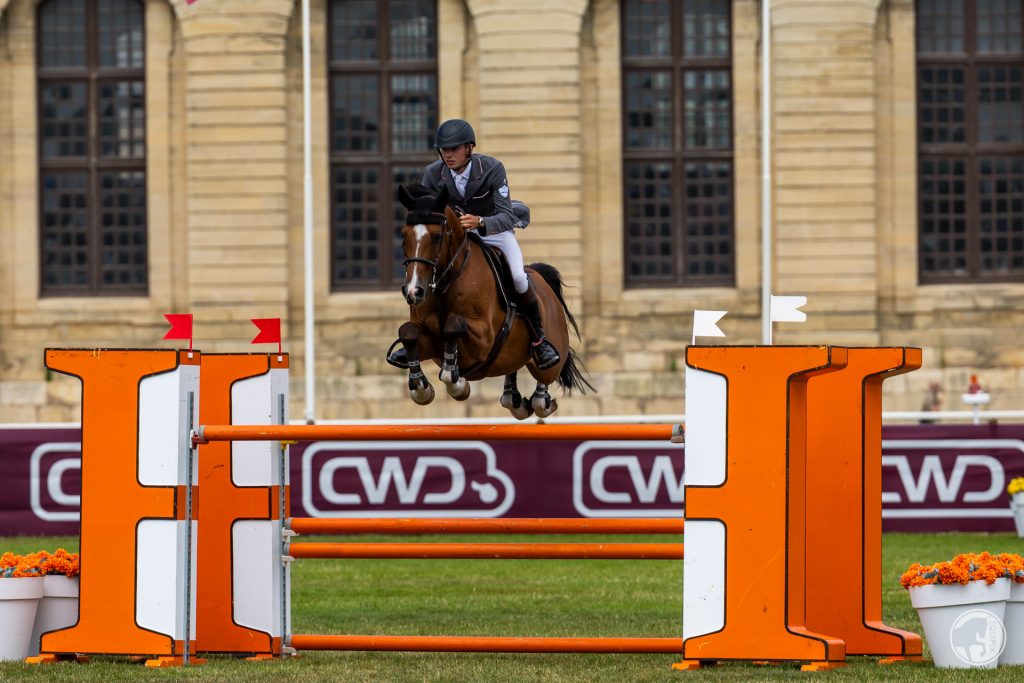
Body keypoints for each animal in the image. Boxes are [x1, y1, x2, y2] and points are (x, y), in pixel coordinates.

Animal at [395, 181, 598, 419]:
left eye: (436, 236)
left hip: (550, 352)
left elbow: (453, 326)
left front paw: (456, 383)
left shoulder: (483, 339)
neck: (445, 283)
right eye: (404, 235)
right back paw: (514, 399)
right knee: (512, 376)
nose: (413, 291)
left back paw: (542, 391)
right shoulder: (429, 339)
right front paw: (421, 387)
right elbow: (407, 332)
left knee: (544, 382)